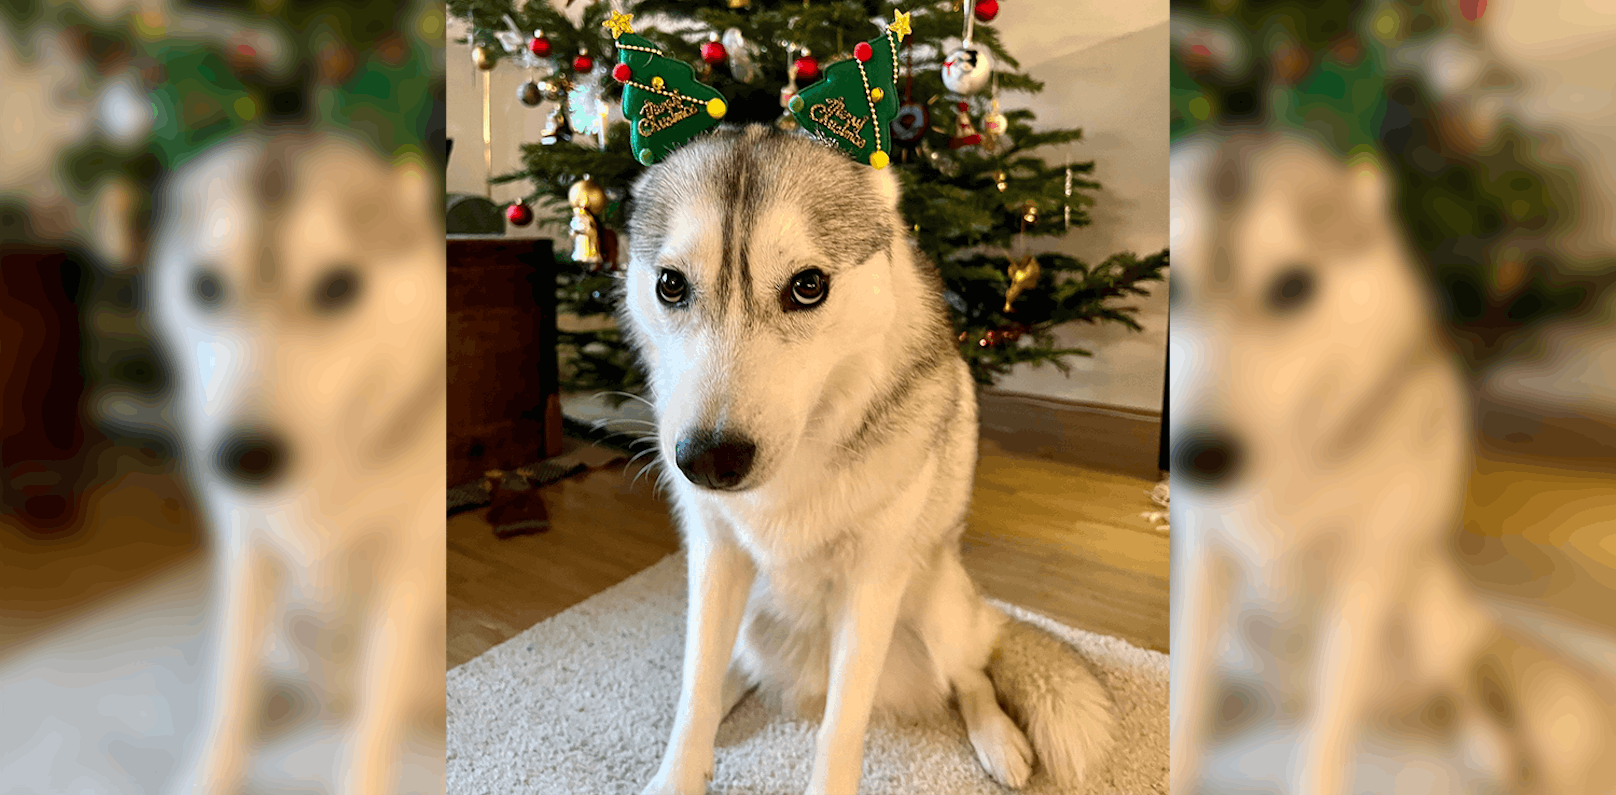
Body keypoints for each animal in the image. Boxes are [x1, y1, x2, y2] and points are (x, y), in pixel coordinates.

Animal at [148, 131, 446, 795]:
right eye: (206, 286)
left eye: (338, 286)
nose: (244, 458)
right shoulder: (246, 552)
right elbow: (230, 682)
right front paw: (212, 769)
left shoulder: (406, 572)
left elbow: (374, 721)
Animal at [610, 126, 1118, 795]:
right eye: (671, 285)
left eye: (808, 286)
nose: (710, 461)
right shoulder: (714, 559)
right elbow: (693, 695)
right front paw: (680, 770)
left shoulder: (870, 586)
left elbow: (841, 727)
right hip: (752, 617)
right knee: (732, 668)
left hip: (932, 601)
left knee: (970, 675)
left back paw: (998, 738)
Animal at [1169, 131, 1616, 795]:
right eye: (1173, 286)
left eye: (1293, 286)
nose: (1200, 458)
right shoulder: (1206, 561)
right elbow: (1188, 696)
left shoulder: (1362, 578)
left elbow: (1328, 734)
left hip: (1422, 612)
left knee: (1461, 685)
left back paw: (1487, 744)